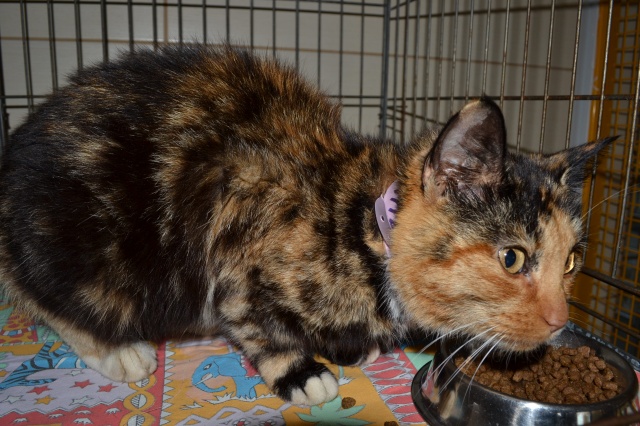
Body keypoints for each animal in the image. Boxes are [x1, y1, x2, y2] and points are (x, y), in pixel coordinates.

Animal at [0, 44, 614, 406]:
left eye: (572, 261)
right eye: (512, 258)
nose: (561, 320)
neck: (361, 229)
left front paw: (353, 348)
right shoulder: (236, 210)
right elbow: (250, 319)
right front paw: (300, 370)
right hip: (92, 248)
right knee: (49, 296)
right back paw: (117, 351)